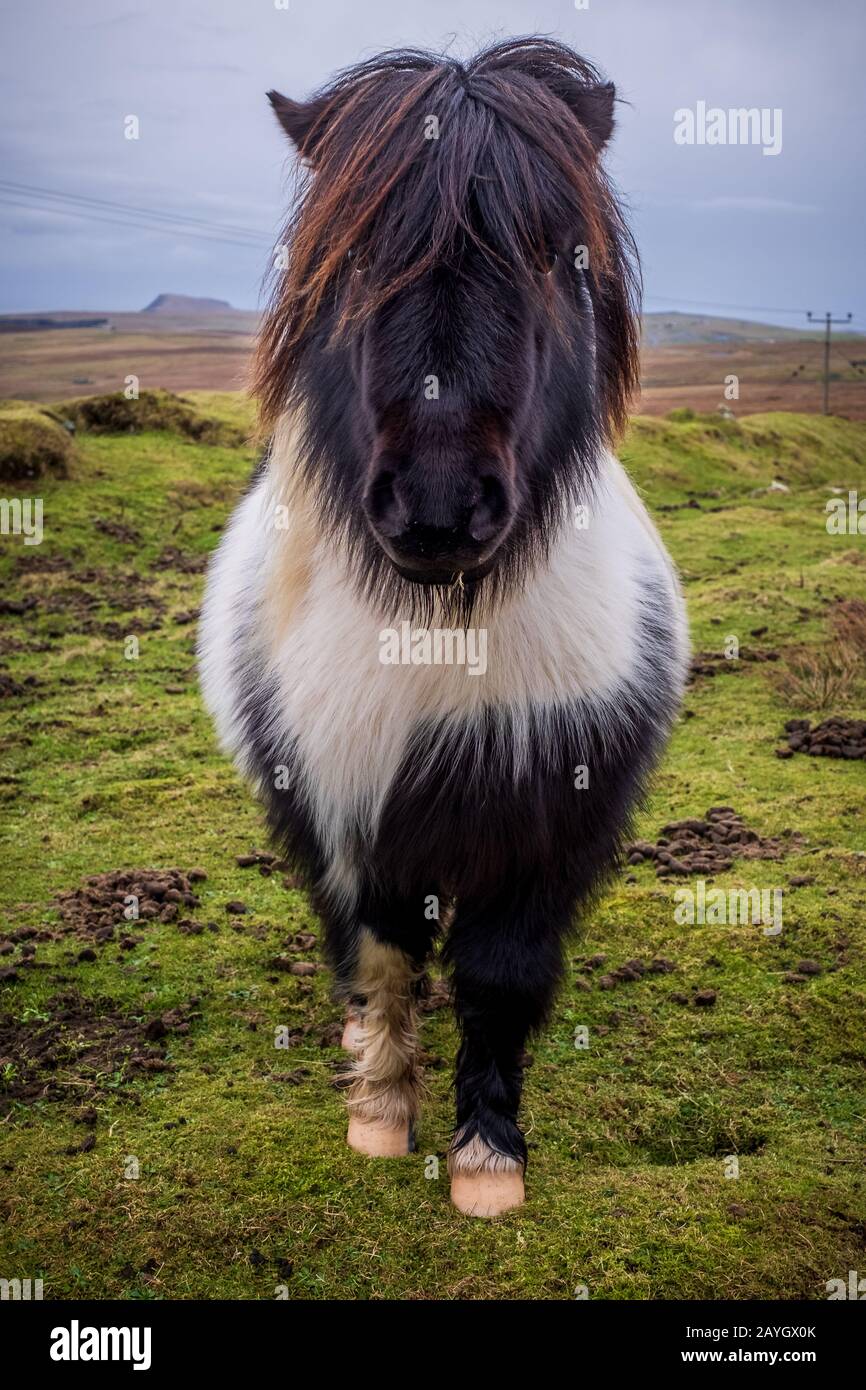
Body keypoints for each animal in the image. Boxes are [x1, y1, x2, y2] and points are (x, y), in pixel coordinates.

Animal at [198, 38, 692, 1217]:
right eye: (352, 261)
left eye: (551, 255)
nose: (433, 506)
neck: (440, 636)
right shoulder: (346, 799)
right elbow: (379, 953)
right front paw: (379, 1115)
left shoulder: (551, 808)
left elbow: (498, 977)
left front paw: (485, 1160)